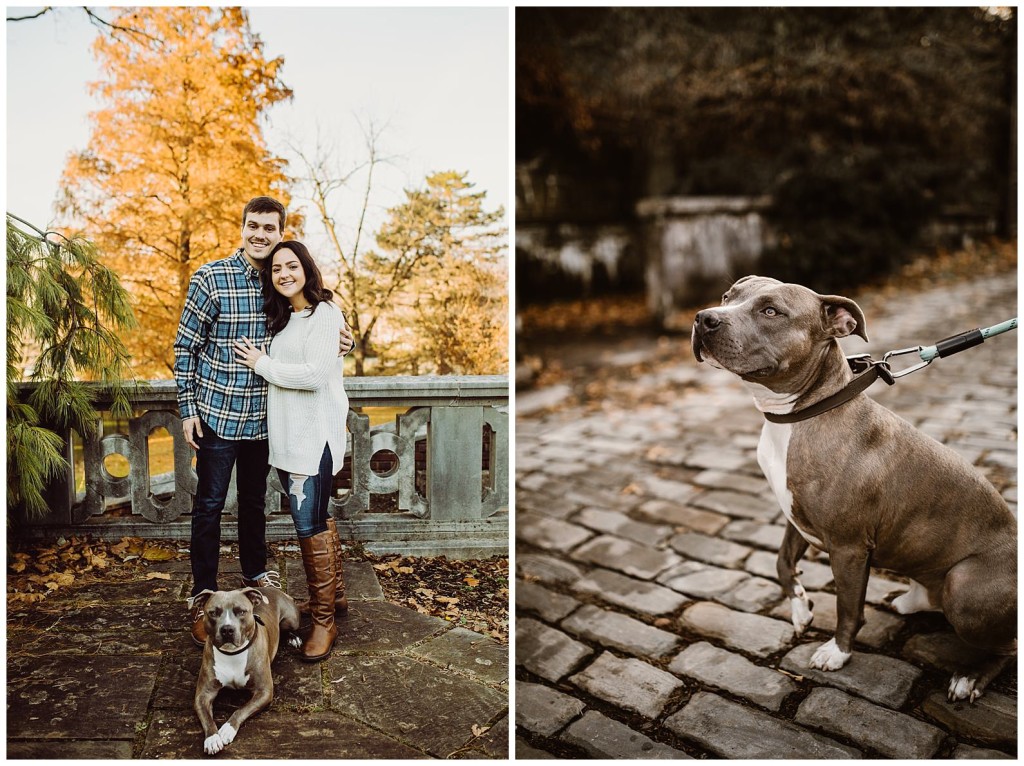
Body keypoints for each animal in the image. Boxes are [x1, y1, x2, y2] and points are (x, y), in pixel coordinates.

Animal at [189, 585, 301, 753]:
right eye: (213, 613)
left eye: (241, 611)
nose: (227, 629)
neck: (232, 654)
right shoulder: (204, 694)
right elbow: (207, 718)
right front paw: (212, 738)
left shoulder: (264, 691)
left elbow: (240, 709)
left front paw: (228, 729)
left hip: (291, 619)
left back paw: (294, 638)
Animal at [688, 274, 1015, 700]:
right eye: (728, 296)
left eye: (771, 311)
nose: (704, 318)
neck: (801, 414)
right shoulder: (796, 517)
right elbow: (782, 564)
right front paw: (801, 609)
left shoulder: (848, 547)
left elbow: (848, 606)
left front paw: (837, 652)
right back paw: (909, 601)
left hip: (964, 586)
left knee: (1007, 646)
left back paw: (971, 678)